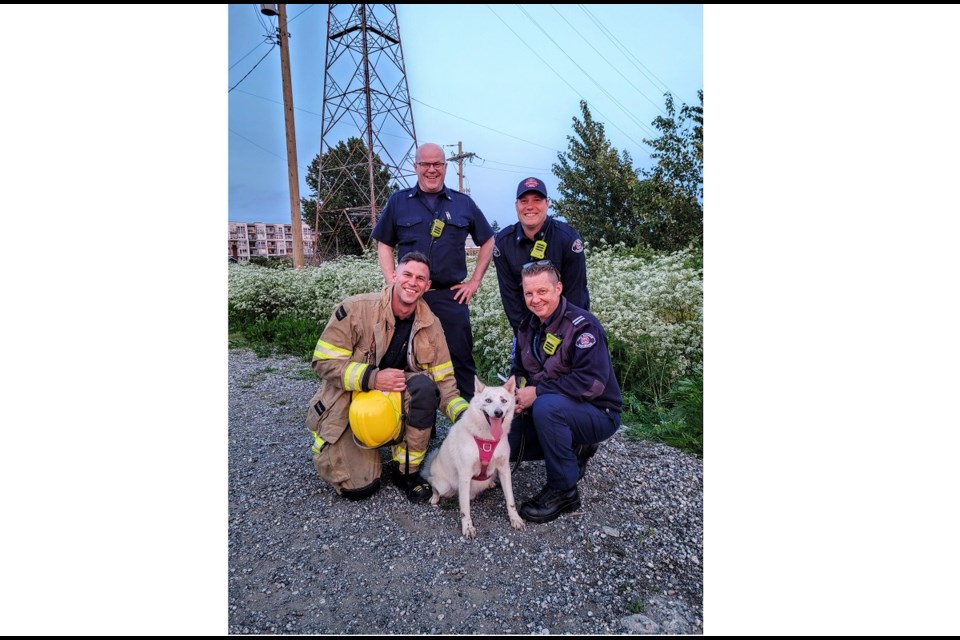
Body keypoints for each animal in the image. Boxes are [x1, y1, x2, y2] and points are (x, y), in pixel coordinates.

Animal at [420, 378, 524, 536]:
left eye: (504, 400)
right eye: (488, 400)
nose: (498, 413)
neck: (487, 440)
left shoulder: (504, 469)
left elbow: (510, 499)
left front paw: (515, 519)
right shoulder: (465, 474)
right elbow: (465, 508)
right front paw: (467, 527)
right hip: (443, 485)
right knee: (433, 484)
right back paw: (434, 497)